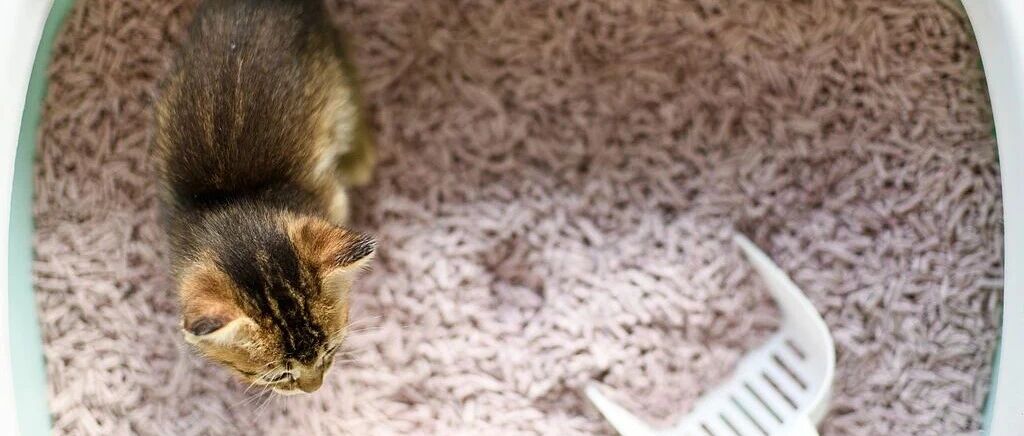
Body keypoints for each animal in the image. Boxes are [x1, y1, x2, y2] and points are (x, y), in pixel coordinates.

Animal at [154, 0, 376, 395]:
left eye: (330, 350)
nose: (314, 388)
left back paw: (359, 157)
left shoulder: (331, 197)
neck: (236, 200)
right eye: (276, 375)